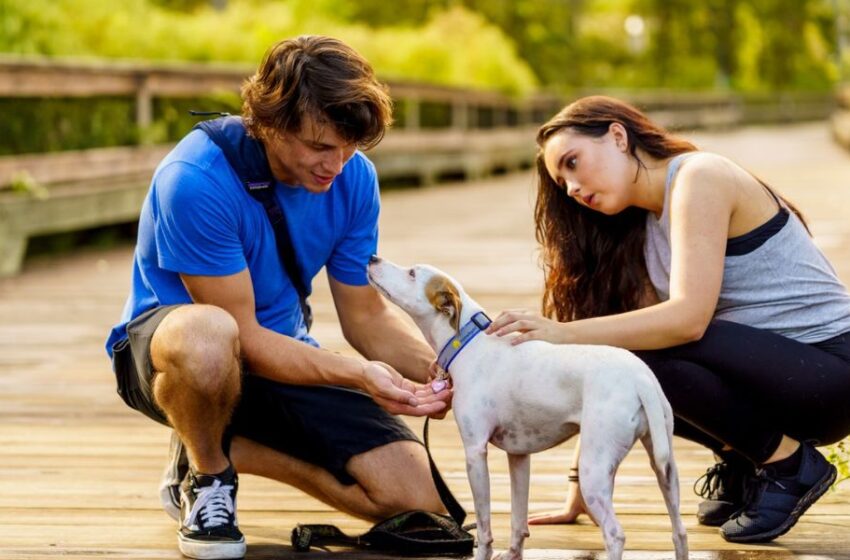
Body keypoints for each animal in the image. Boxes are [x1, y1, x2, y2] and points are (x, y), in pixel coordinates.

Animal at [368, 258, 684, 560]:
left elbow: (484, 528)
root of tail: (640, 377)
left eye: (412, 273)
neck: (468, 342)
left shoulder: (475, 452)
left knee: (615, 534)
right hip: (665, 469)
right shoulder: (519, 456)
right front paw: (513, 553)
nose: (372, 258)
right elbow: (518, 519)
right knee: (679, 531)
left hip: (593, 473)